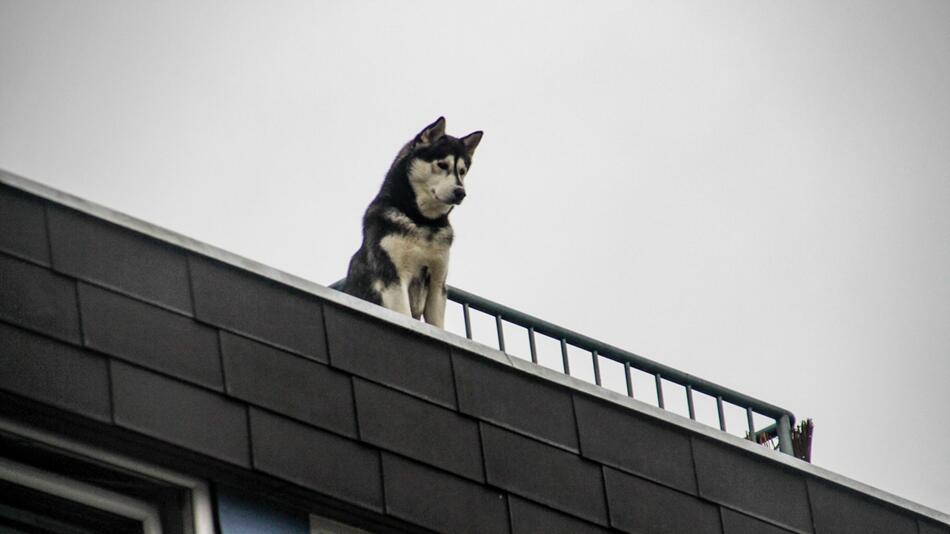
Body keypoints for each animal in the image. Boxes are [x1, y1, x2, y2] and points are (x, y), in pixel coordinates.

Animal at [344, 116, 484, 326]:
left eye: (462, 171)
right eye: (442, 165)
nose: (461, 192)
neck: (423, 222)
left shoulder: (437, 284)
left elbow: (437, 325)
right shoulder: (393, 280)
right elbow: (404, 313)